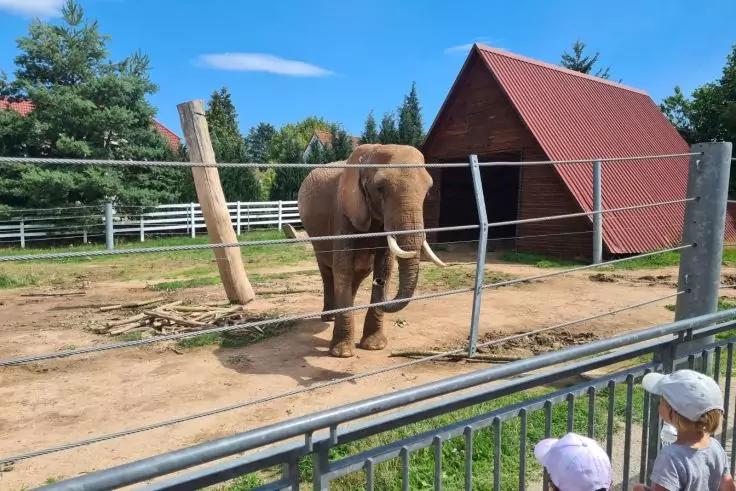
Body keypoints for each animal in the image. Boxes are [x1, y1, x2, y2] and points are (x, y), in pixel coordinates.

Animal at [297, 144, 446, 358]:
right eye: (380, 189)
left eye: (427, 192)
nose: (379, 282)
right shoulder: (343, 210)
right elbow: (343, 267)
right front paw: (342, 353)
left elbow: (385, 265)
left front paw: (374, 346)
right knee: (328, 270)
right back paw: (329, 317)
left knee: (359, 273)